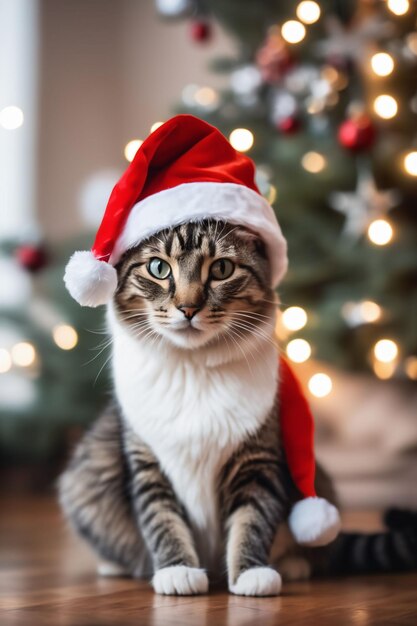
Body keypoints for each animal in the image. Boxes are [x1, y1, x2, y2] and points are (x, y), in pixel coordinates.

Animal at [59, 219, 416, 596]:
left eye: (221, 269)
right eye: (158, 268)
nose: (188, 308)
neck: (194, 369)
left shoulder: (258, 458)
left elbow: (252, 520)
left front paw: (251, 573)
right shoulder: (146, 459)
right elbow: (161, 519)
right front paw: (178, 570)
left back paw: (293, 564)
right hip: (86, 473)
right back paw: (116, 565)